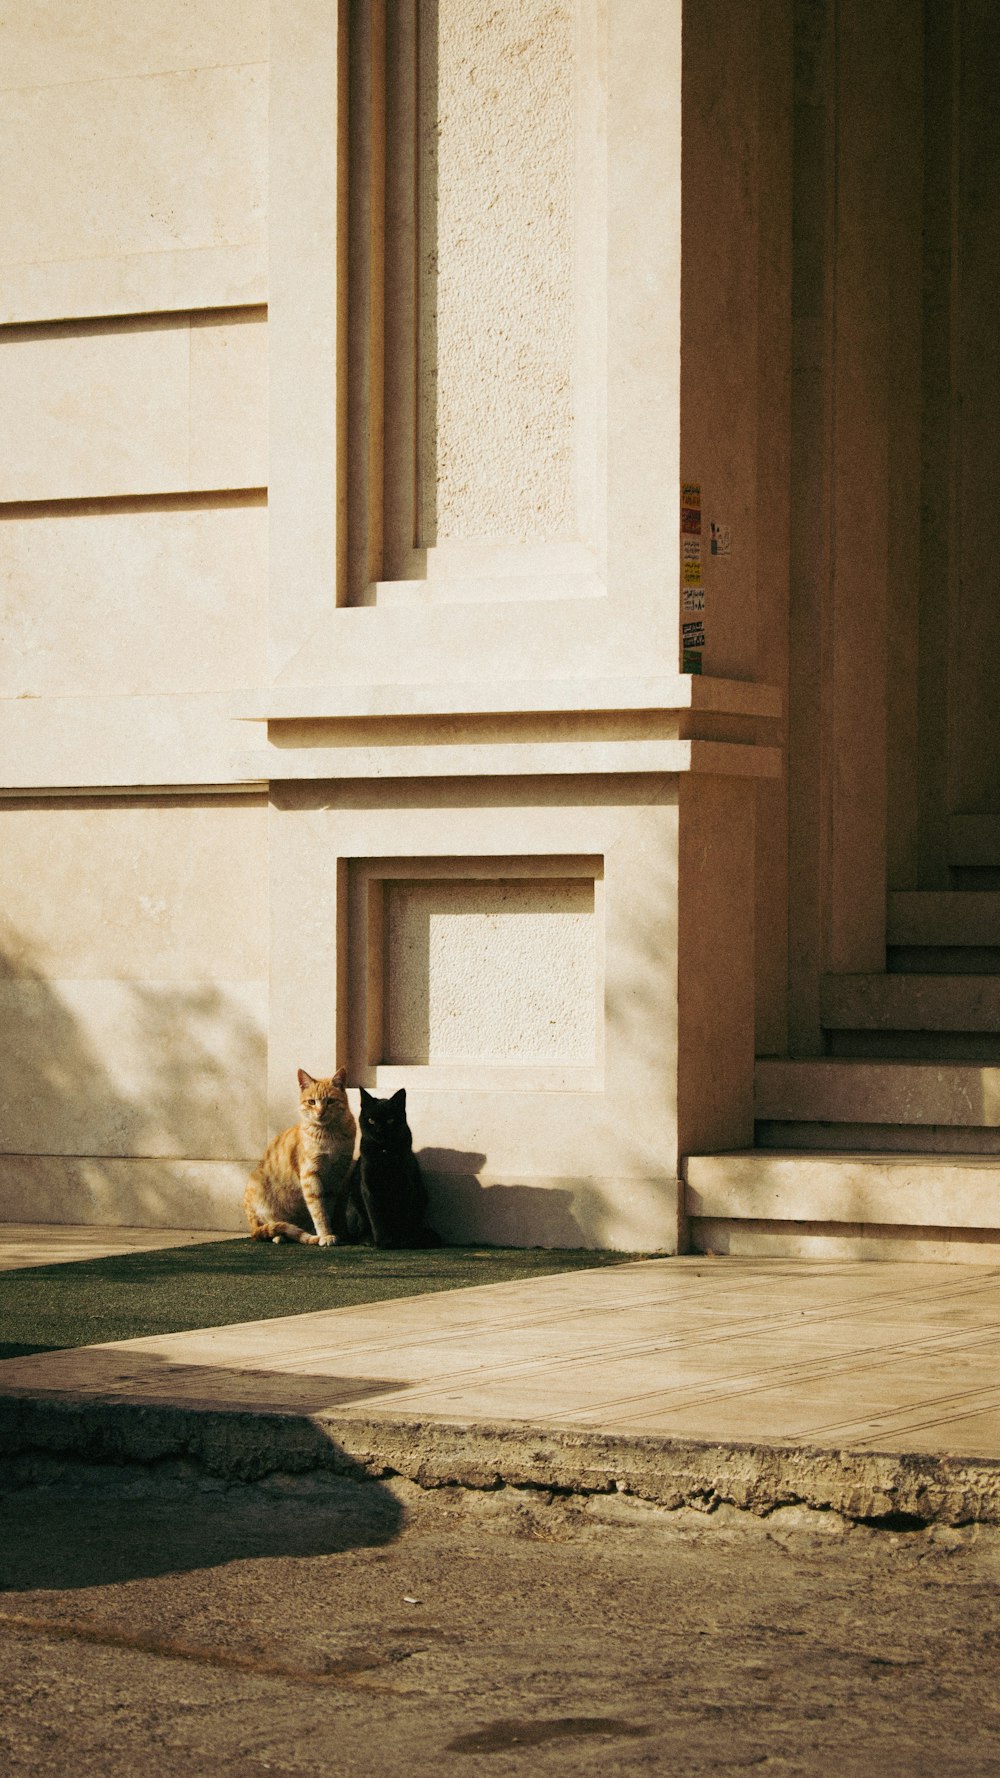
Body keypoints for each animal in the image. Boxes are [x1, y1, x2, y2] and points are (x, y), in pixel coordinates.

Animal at [243, 1073, 355, 1244]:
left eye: (330, 1101)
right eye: (311, 1102)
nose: (320, 1112)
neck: (330, 1134)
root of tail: (251, 1228)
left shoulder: (336, 1177)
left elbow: (327, 1208)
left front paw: (328, 1231)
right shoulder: (310, 1175)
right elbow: (318, 1210)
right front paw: (325, 1235)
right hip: (260, 1193)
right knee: (270, 1227)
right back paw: (280, 1236)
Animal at [338, 1081, 439, 1251]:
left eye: (390, 1120)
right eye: (371, 1120)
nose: (379, 1131)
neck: (385, 1153)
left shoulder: (407, 1187)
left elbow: (403, 1218)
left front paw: (404, 1242)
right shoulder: (369, 1188)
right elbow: (377, 1218)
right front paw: (384, 1243)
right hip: (353, 1208)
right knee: (357, 1234)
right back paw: (369, 1240)